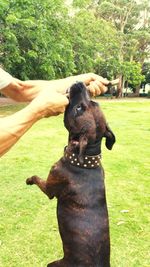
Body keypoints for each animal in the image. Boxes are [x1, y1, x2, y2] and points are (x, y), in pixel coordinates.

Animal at [25, 82, 115, 266]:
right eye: (94, 101)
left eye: (78, 109)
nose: (79, 83)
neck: (85, 161)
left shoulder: (50, 188)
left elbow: (37, 179)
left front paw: (30, 179)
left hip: (55, 263)